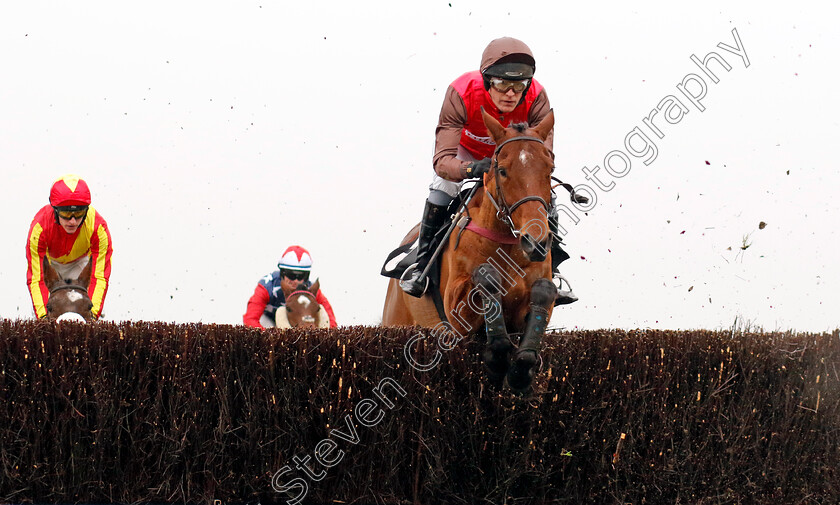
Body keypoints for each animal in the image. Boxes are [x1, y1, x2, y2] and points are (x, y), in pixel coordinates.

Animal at [386, 105, 556, 390]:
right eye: (503, 171)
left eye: (550, 169)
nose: (536, 242)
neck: (507, 245)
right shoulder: (456, 314)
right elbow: (487, 277)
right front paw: (497, 358)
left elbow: (544, 291)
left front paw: (521, 371)